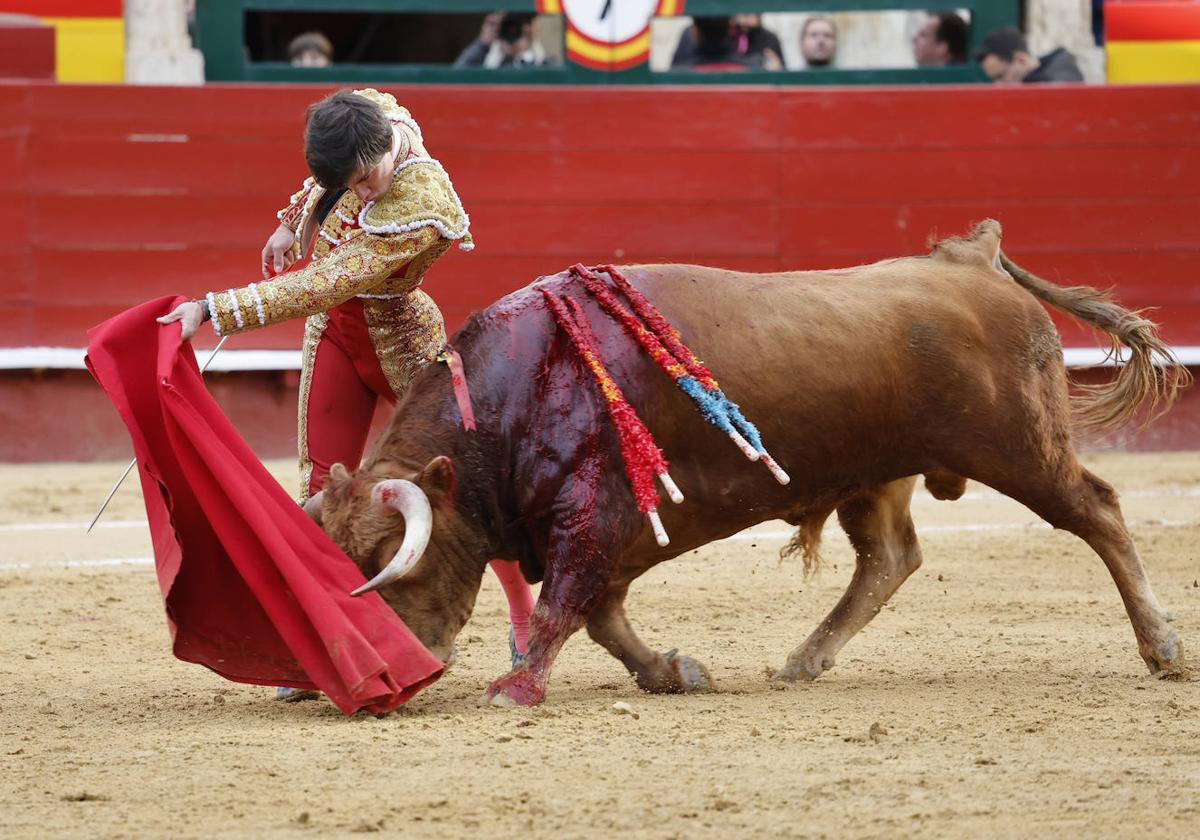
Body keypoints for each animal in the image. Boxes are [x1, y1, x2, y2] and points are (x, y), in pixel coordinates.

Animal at [304, 219, 1185, 705]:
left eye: (387, 560)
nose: (393, 673)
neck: (519, 388)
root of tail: (970, 259)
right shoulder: (614, 533)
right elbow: (602, 617)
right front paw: (672, 672)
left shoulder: (594, 517)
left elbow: (565, 608)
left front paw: (514, 689)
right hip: (877, 473)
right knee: (891, 557)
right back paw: (804, 660)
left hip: (1019, 448)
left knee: (1098, 511)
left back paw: (1163, 648)